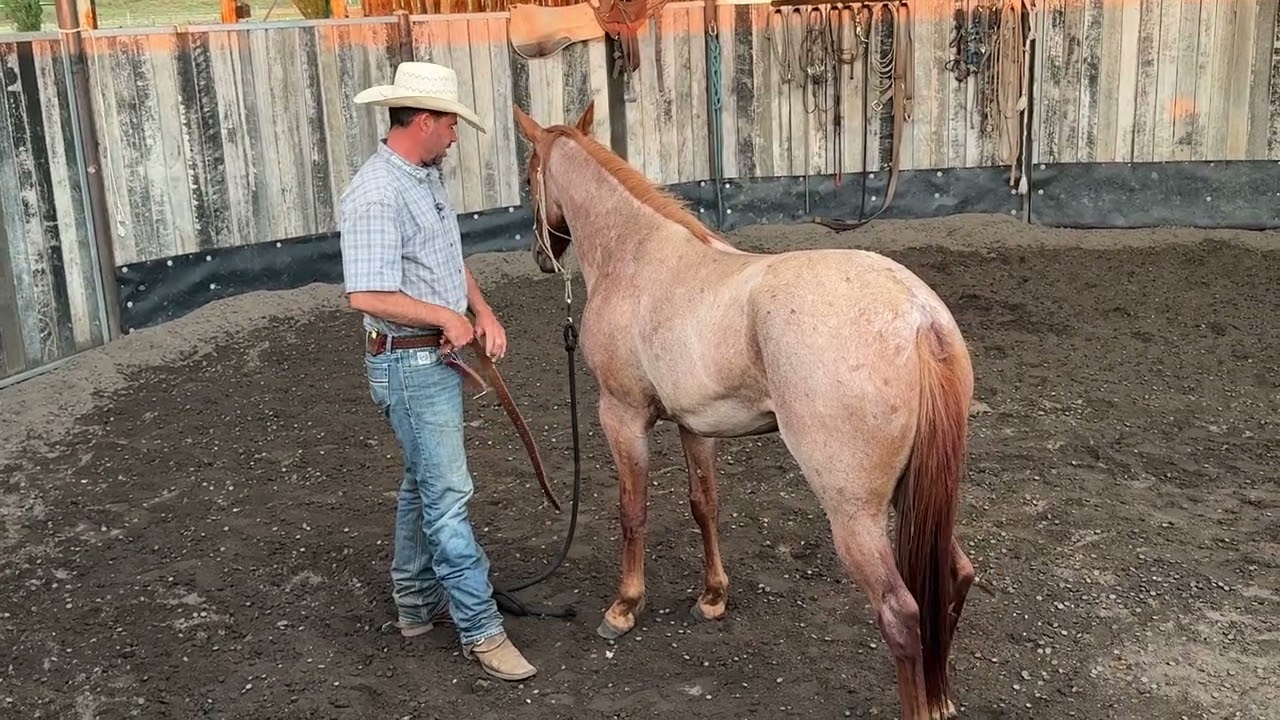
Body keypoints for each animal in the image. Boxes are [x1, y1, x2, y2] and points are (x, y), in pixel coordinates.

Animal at [513, 101, 977, 720]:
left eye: (527, 178)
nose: (541, 257)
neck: (638, 256)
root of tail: (918, 316)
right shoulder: (695, 426)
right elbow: (704, 505)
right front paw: (712, 598)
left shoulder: (622, 416)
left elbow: (632, 512)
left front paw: (623, 607)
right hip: (917, 493)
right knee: (956, 577)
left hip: (854, 514)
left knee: (901, 613)